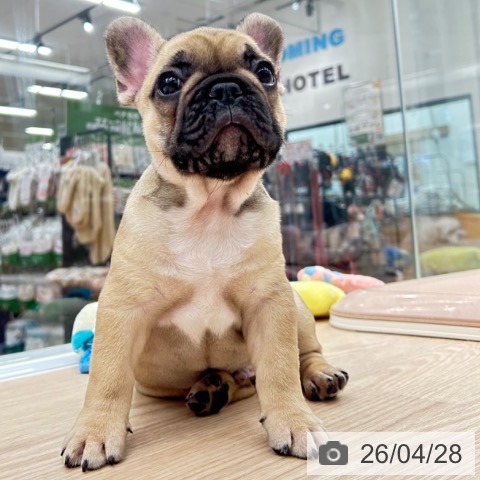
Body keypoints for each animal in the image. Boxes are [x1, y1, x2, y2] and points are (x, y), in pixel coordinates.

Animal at [61, 13, 348, 471]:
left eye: (265, 73)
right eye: (168, 82)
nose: (227, 87)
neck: (210, 205)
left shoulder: (270, 304)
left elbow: (280, 369)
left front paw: (295, 421)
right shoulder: (123, 309)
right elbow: (108, 376)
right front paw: (95, 431)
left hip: (296, 306)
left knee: (303, 354)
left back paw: (319, 375)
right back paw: (213, 388)